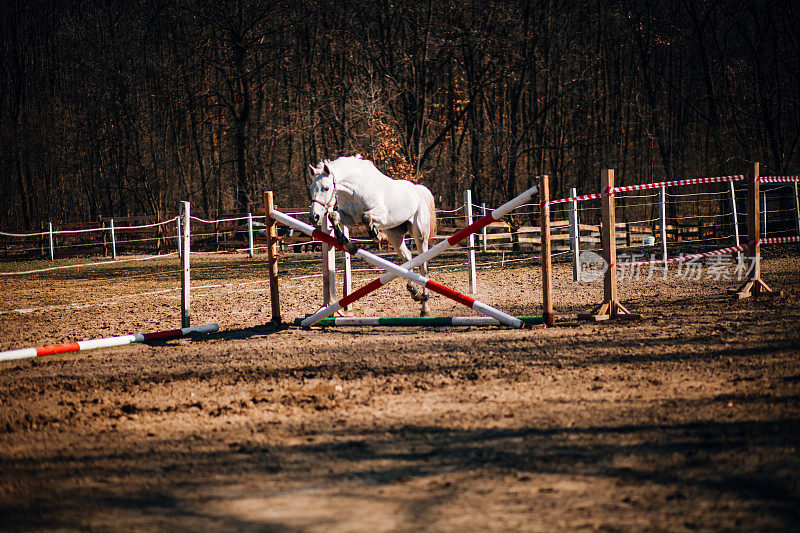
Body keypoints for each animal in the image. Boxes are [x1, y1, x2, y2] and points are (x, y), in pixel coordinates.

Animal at [310, 154, 438, 314]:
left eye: (326, 188)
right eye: (311, 189)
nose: (314, 217)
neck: (354, 189)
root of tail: (418, 191)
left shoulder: (380, 215)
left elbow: (366, 217)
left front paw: (375, 234)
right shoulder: (350, 217)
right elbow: (333, 215)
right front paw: (348, 244)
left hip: (419, 233)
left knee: (423, 266)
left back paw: (425, 307)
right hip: (395, 235)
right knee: (408, 258)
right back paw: (414, 292)